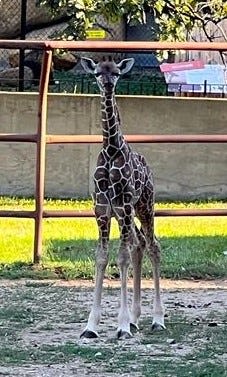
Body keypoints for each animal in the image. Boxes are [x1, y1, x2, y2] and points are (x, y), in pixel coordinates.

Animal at [80, 55, 165, 338]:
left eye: (116, 73)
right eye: (97, 72)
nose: (107, 84)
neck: (110, 149)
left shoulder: (126, 203)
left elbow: (122, 256)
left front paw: (122, 325)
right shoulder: (102, 208)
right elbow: (102, 256)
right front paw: (91, 326)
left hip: (145, 205)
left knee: (152, 245)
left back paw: (157, 319)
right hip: (123, 214)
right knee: (139, 243)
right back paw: (137, 319)